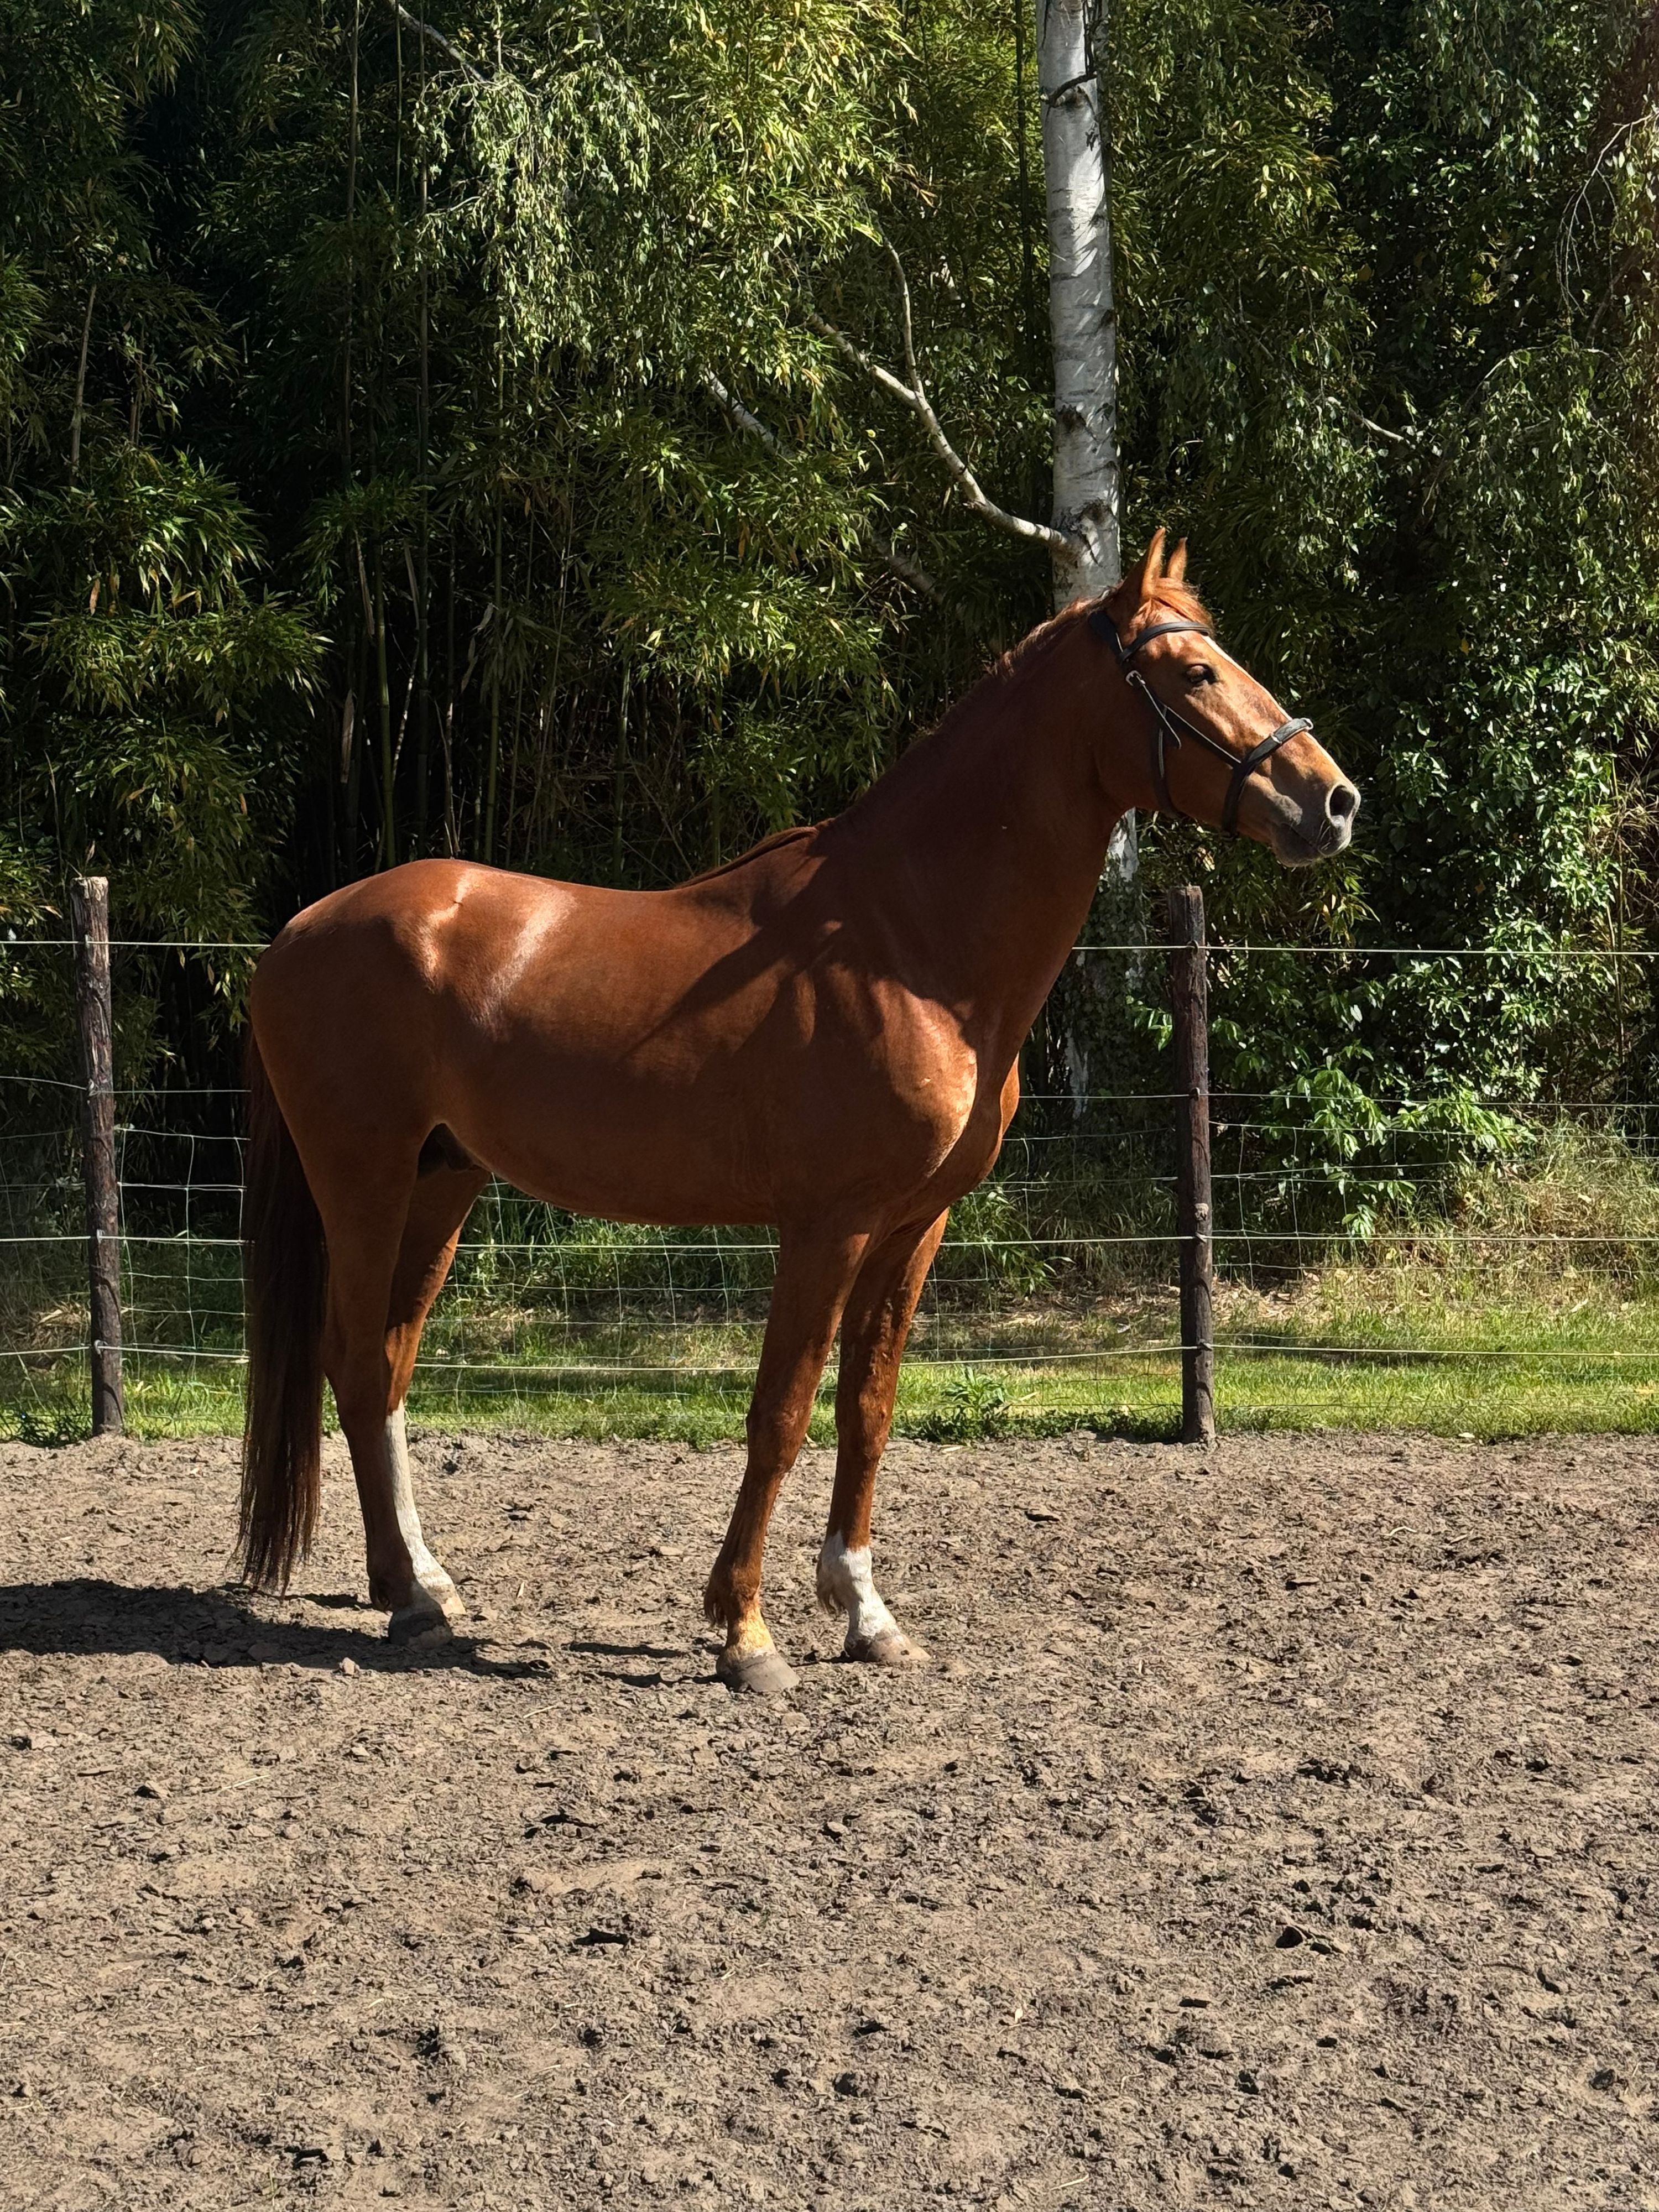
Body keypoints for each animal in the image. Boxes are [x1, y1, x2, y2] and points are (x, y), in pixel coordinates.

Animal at [239, 530, 1359, 1693]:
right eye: (1196, 673)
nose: (1334, 801)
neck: (905, 944)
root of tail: (296, 934)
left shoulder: (914, 1228)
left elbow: (867, 1409)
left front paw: (866, 1615)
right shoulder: (827, 1226)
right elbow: (780, 1413)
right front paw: (746, 1634)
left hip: (443, 1183)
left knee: (388, 1367)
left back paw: (424, 1579)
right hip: (363, 1183)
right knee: (353, 1365)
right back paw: (411, 1605)